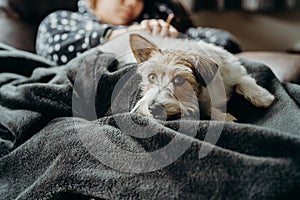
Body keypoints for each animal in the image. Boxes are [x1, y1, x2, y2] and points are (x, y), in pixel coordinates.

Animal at [99, 32, 274, 121]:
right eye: (152, 77)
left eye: (179, 79)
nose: (152, 108)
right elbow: (207, 108)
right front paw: (224, 117)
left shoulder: (232, 68)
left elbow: (243, 80)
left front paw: (263, 96)